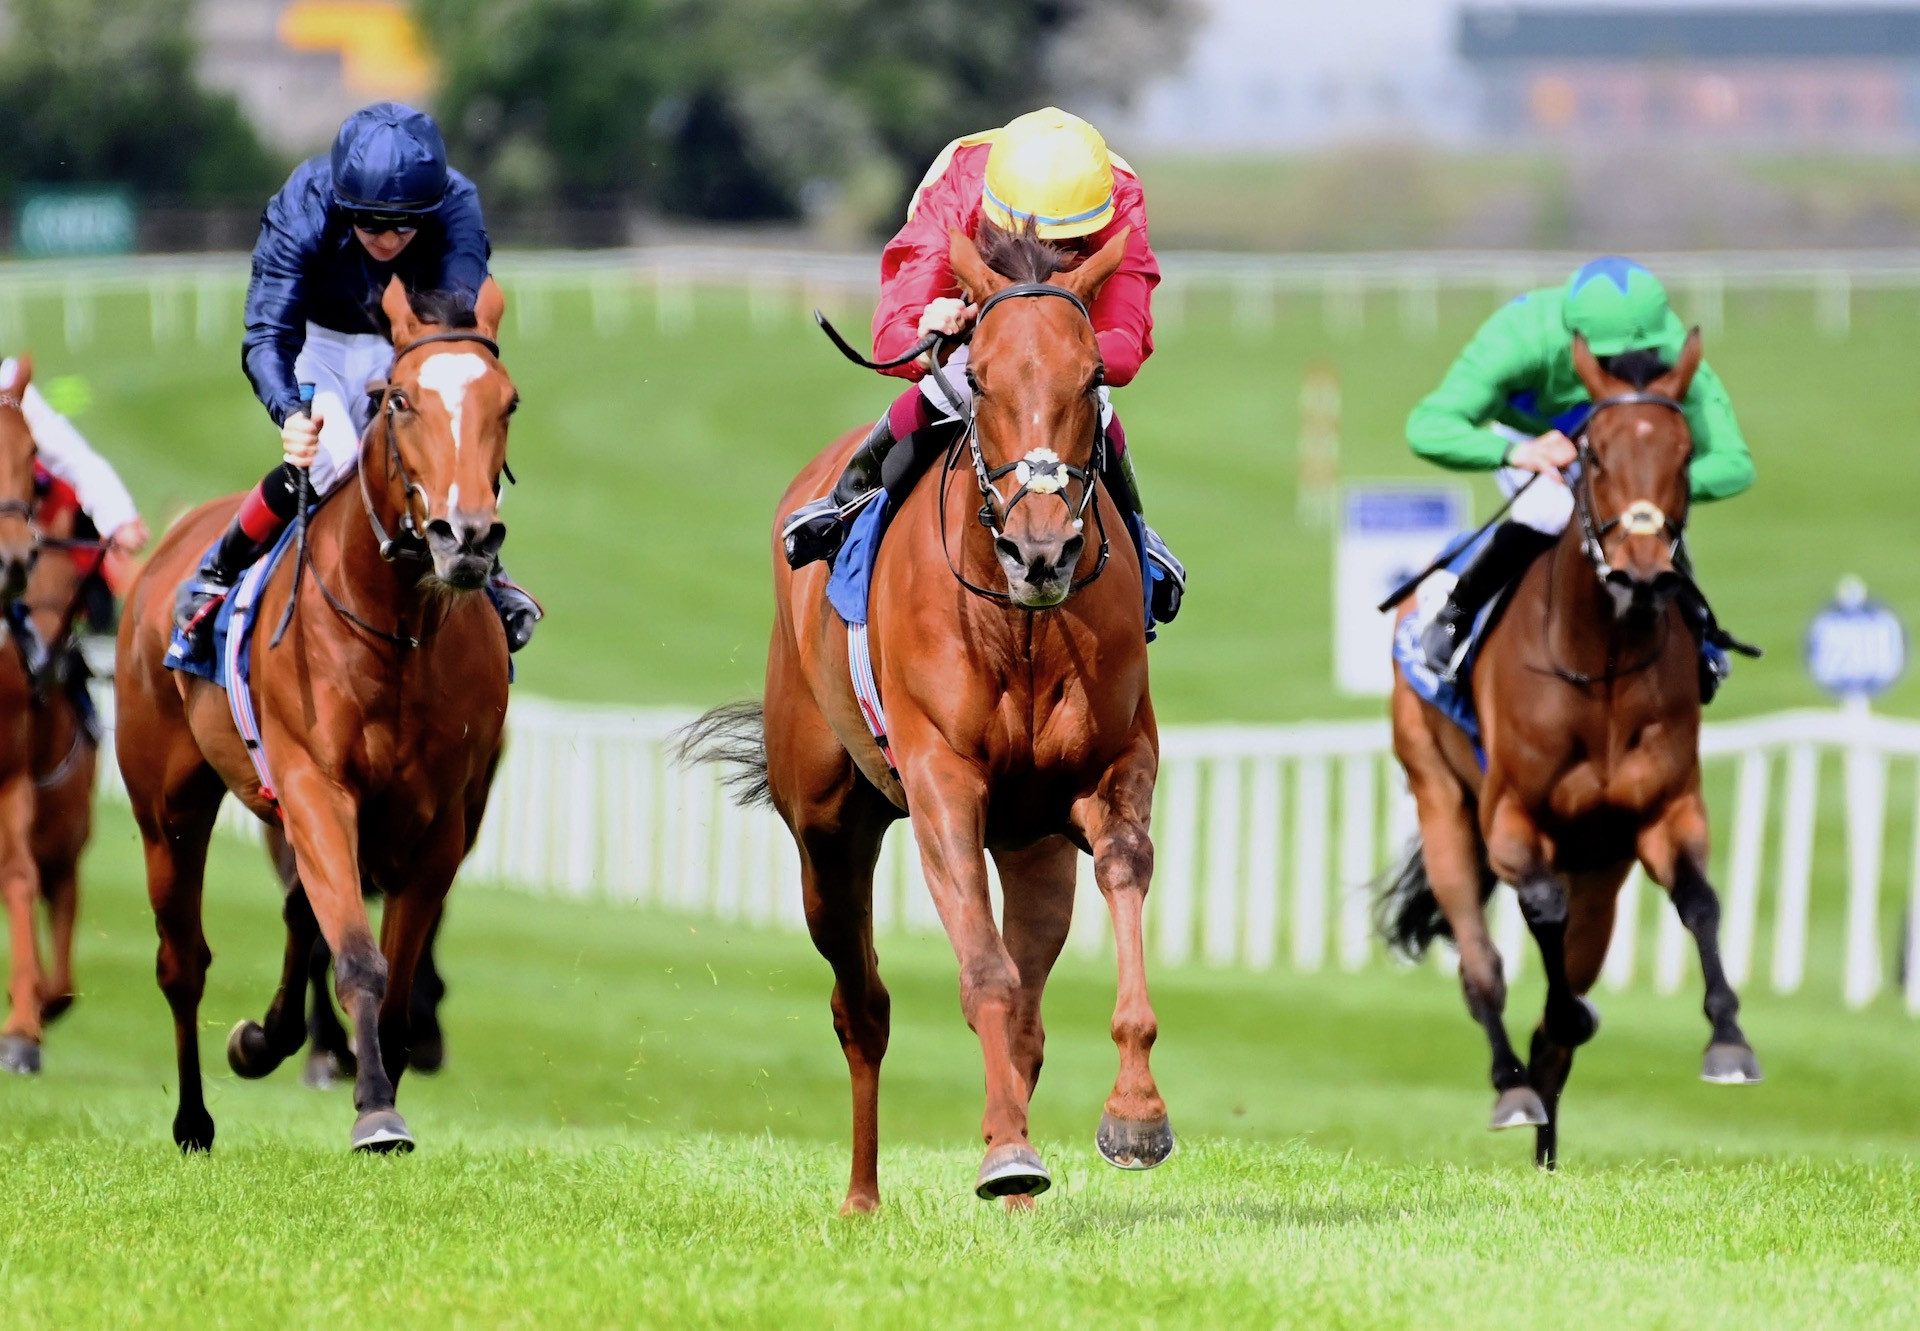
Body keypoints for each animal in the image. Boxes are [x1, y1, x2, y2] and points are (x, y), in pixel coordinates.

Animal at [116, 280, 514, 1152]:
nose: (465, 537)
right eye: (399, 400)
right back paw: (194, 1117)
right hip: (169, 807)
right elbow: (359, 956)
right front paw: (375, 1108)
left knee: (301, 910)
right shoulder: (316, 785)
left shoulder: (441, 821)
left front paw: (377, 1070)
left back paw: (267, 1039)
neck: (395, 628)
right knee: (181, 961)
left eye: (508, 401)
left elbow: (390, 976)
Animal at [687, 231, 1167, 1213]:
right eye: (977, 375)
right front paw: (1008, 1154)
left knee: (1028, 1010)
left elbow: (1121, 877)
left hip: (1031, 846)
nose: (1041, 549)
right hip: (827, 834)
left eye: (1094, 374)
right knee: (861, 1006)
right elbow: (980, 971)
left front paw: (1134, 1111)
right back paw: (866, 1193)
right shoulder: (943, 781)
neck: (1021, 624)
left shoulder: (1109, 771)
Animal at [1374, 330, 1758, 1160]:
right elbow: (1537, 907)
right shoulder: (1510, 816)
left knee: (1560, 1014)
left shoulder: (1665, 807)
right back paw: (1512, 1084)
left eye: (1685, 452)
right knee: (1481, 965)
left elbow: (1700, 900)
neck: (1601, 664)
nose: (1644, 576)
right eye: (1597, 454)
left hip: (1603, 872)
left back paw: (1547, 1137)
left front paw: (1729, 1038)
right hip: (1440, 800)